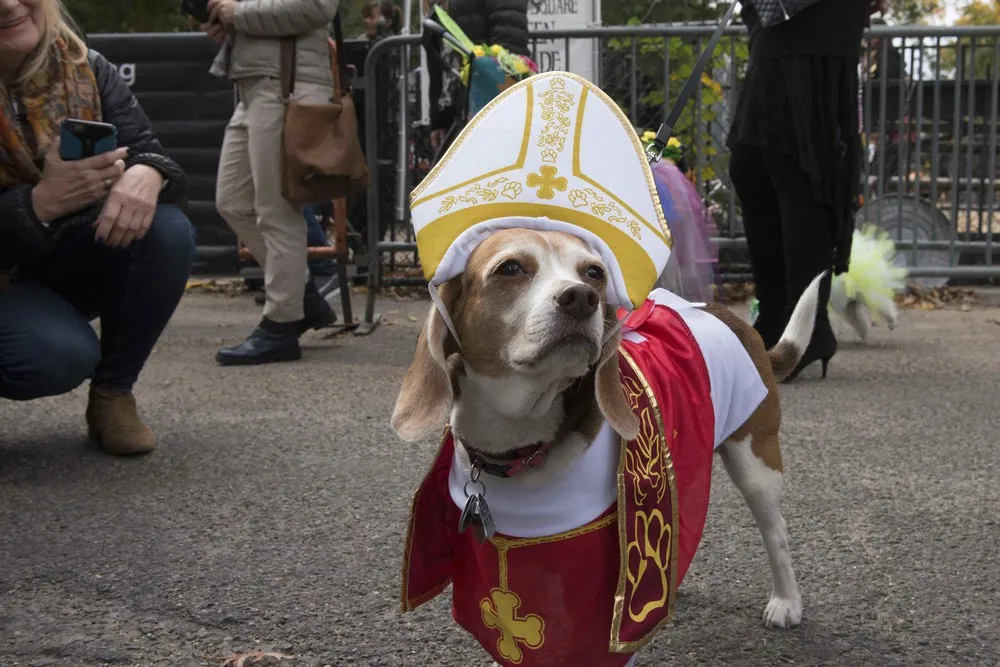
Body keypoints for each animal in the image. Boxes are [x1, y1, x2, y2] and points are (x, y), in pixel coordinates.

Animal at [390, 228, 820, 664]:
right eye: (510, 268)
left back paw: (786, 601)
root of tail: (729, 316)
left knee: (776, 531)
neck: (520, 442)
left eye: (594, 273)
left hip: (755, 461)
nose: (581, 297)